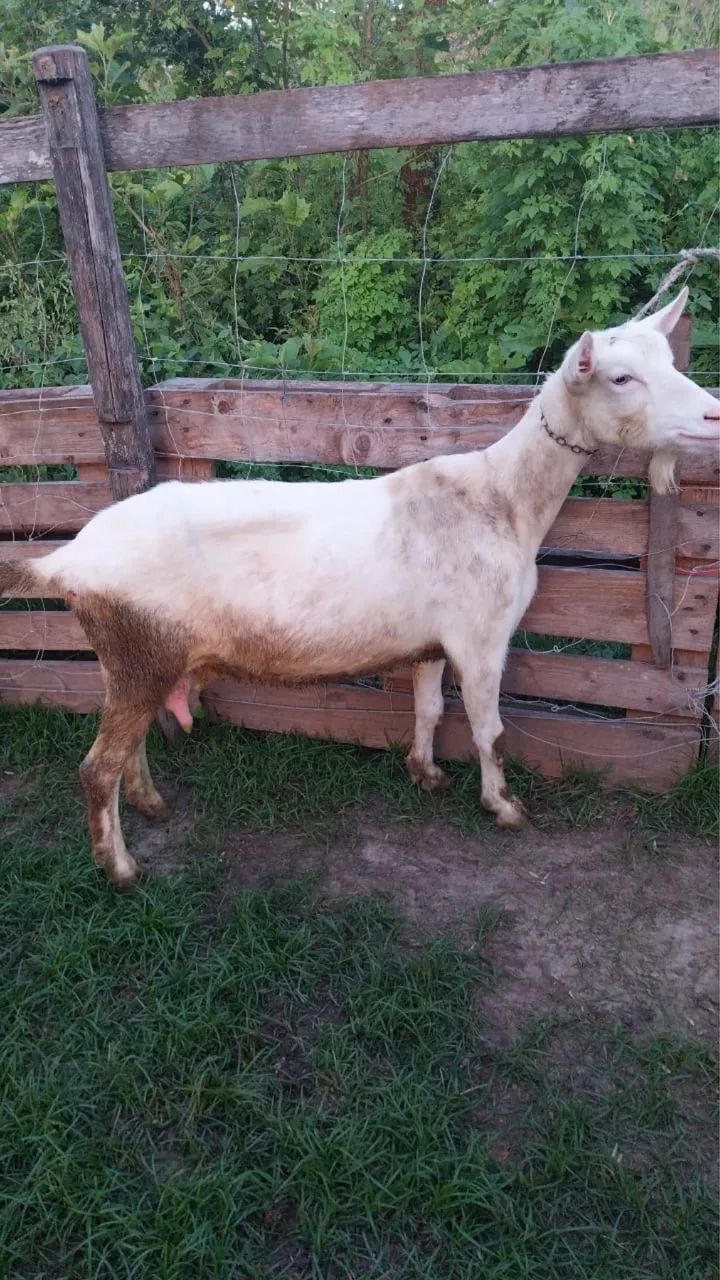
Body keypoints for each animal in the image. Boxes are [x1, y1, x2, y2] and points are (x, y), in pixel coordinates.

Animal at [1, 288, 718, 886]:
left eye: (667, 360)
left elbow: (429, 711)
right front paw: (504, 807)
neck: (502, 498)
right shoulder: (482, 636)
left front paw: (426, 773)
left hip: (128, 657)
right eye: (621, 377)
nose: (713, 415)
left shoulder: (433, 642)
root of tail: (69, 559)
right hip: (138, 649)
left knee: (131, 747)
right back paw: (121, 869)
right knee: (97, 768)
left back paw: (152, 806)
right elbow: (489, 730)